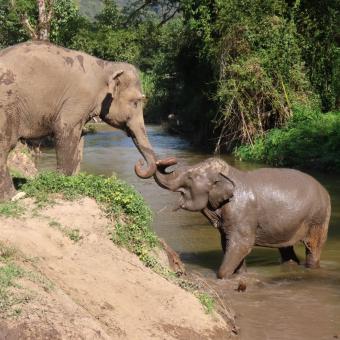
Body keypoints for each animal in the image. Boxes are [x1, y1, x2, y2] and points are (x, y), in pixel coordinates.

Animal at [0, 40, 159, 201]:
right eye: (136, 102)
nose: (139, 163)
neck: (105, 66)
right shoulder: (79, 98)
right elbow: (64, 129)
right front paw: (62, 183)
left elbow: (80, 137)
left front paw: (73, 180)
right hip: (7, 105)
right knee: (5, 145)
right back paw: (14, 196)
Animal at [155, 157, 330, 278]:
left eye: (190, 177)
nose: (164, 161)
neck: (227, 174)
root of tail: (325, 191)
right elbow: (228, 244)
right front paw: (240, 275)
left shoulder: (241, 212)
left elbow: (242, 244)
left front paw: (222, 277)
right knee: (286, 250)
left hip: (318, 218)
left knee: (313, 247)